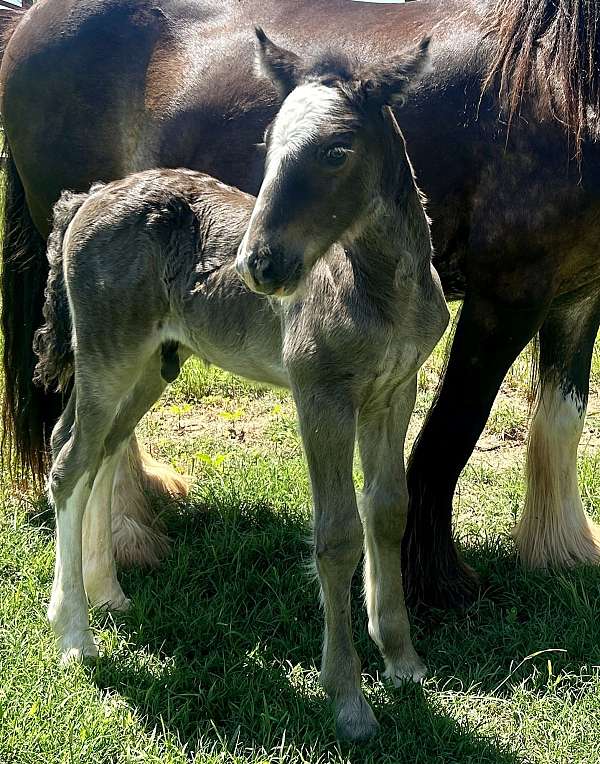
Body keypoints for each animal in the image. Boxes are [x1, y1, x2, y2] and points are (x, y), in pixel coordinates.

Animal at [1, 0, 600, 608]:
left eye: (337, 153)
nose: (259, 264)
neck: (559, 81)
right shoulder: (508, 293)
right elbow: (453, 429)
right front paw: (431, 580)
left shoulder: (580, 293)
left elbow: (563, 417)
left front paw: (564, 550)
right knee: (86, 435)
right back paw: (125, 546)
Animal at [32, 31, 446, 740]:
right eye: (269, 142)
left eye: (336, 151)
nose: (258, 264)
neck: (378, 290)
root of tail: (88, 196)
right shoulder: (320, 394)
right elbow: (336, 535)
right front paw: (348, 700)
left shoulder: (396, 389)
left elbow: (387, 511)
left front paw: (404, 661)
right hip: (106, 355)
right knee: (69, 460)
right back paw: (74, 634)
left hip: (150, 364)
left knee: (102, 450)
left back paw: (107, 591)